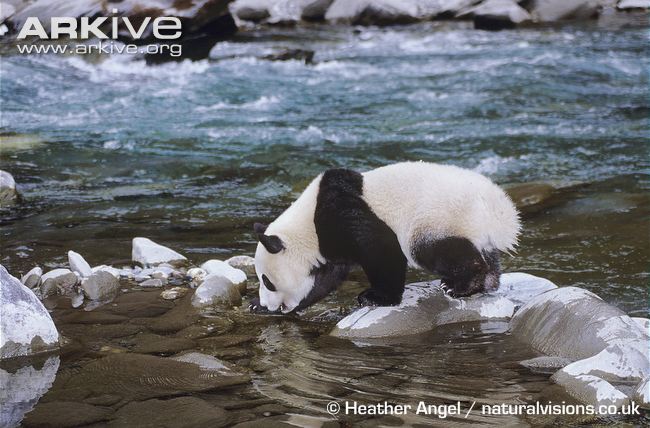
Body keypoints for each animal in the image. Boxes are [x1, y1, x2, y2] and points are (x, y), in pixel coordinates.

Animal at [250, 161, 520, 314]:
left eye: (268, 281)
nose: (269, 304)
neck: (307, 226)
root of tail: (498, 215)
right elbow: (324, 280)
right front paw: (258, 307)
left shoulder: (342, 215)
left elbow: (382, 251)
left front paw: (375, 297)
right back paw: (486, 282)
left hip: (438, 218)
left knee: (435, 250)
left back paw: (462, 285)